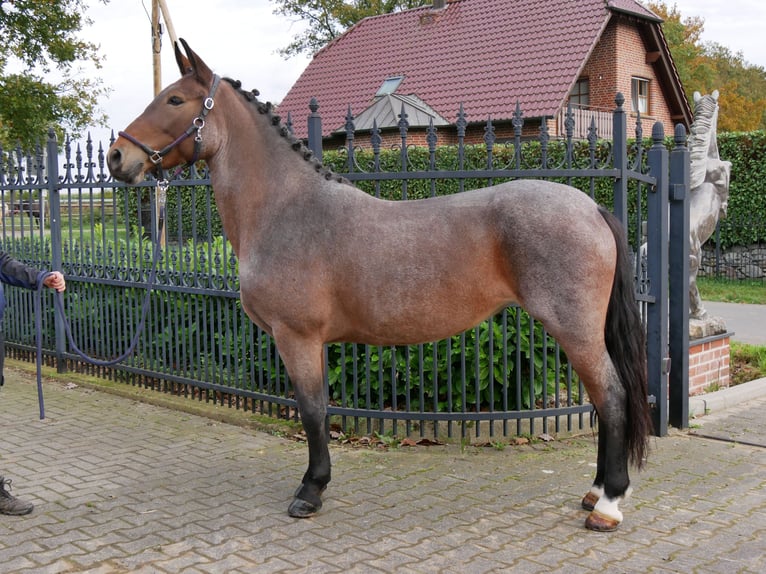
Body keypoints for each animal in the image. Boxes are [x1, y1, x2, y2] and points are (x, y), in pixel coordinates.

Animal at [105, 41, 652, 536]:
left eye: (175, 100)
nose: (116, 156)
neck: (286, 209)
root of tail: (591, 207)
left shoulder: (297, 338)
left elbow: (312, 411)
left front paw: (310, 491)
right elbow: (317, 409)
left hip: (575, 331)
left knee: (612, 398)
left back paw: (608, 506)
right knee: (605, 400)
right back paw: (595, 493)